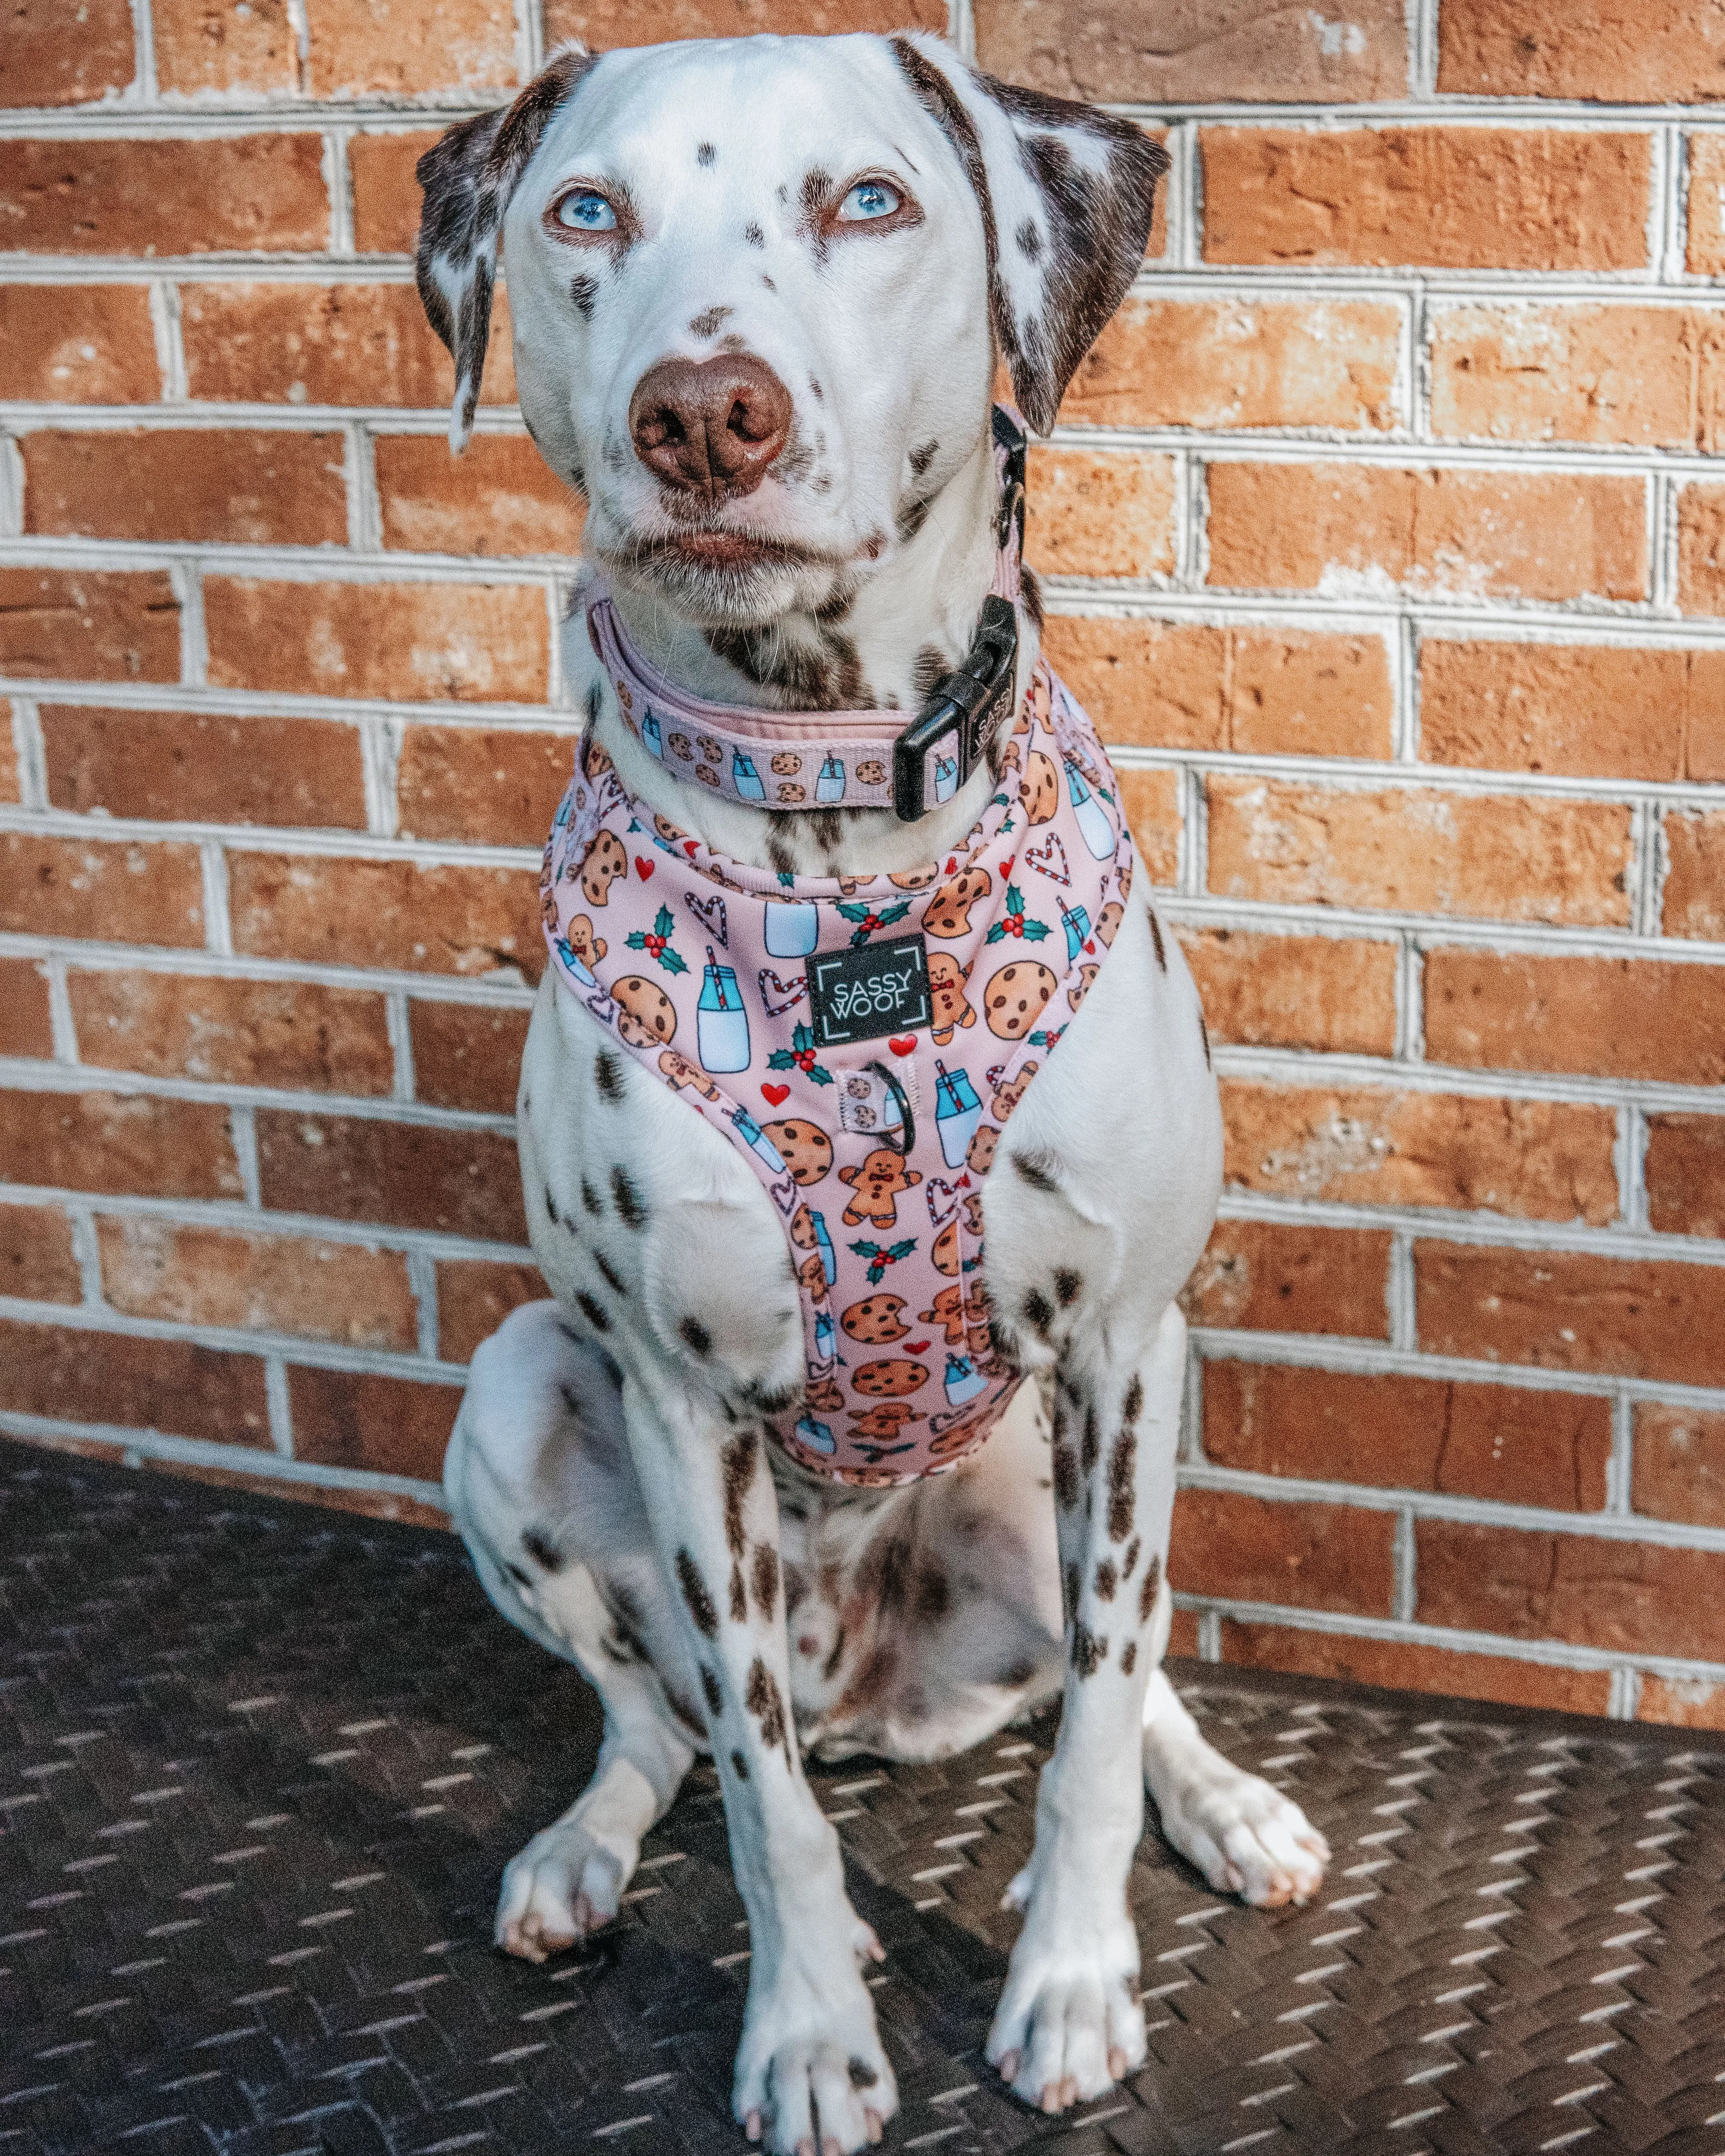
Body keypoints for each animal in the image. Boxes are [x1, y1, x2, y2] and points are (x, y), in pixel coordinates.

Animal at [425, 34, 1328, 2156]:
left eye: (867, 201)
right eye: (582, 210)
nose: (702, 415)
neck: (829, 823)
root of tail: (876, 1679)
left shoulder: (1120, 1345)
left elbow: (1096, 1724)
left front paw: (1071, 1983)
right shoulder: (679, 1404)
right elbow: (759, 1802)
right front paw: (813, 2029)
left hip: (1092, 1450)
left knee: (1123, 1663)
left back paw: (1226, 1804)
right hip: (517, 1393)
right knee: (660, 1717)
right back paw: (591, 1849)